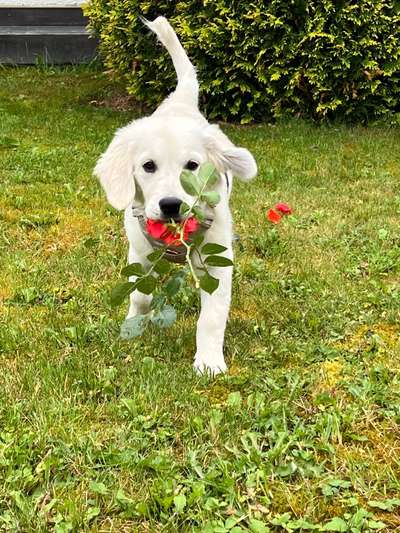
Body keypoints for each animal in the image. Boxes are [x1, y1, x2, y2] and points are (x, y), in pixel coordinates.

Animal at [94, 17, 256, 374]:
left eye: (192, 165)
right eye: (148, 166)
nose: (171, 205)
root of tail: (180, 102)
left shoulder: (216, 261)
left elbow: (212, 316)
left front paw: (209, 361)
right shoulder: (139, 251)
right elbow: (139, 294)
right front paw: (133, 326)